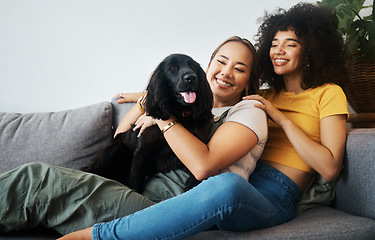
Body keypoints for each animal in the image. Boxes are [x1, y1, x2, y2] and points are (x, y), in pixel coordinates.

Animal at [81, 54, 213, 193]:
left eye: (193, 66)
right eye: (172, 68)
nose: (191, 77)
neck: (180, 115)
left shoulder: (197, 157)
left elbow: (198, 176)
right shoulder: (143, 151)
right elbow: (134, 182)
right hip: (117, 149)